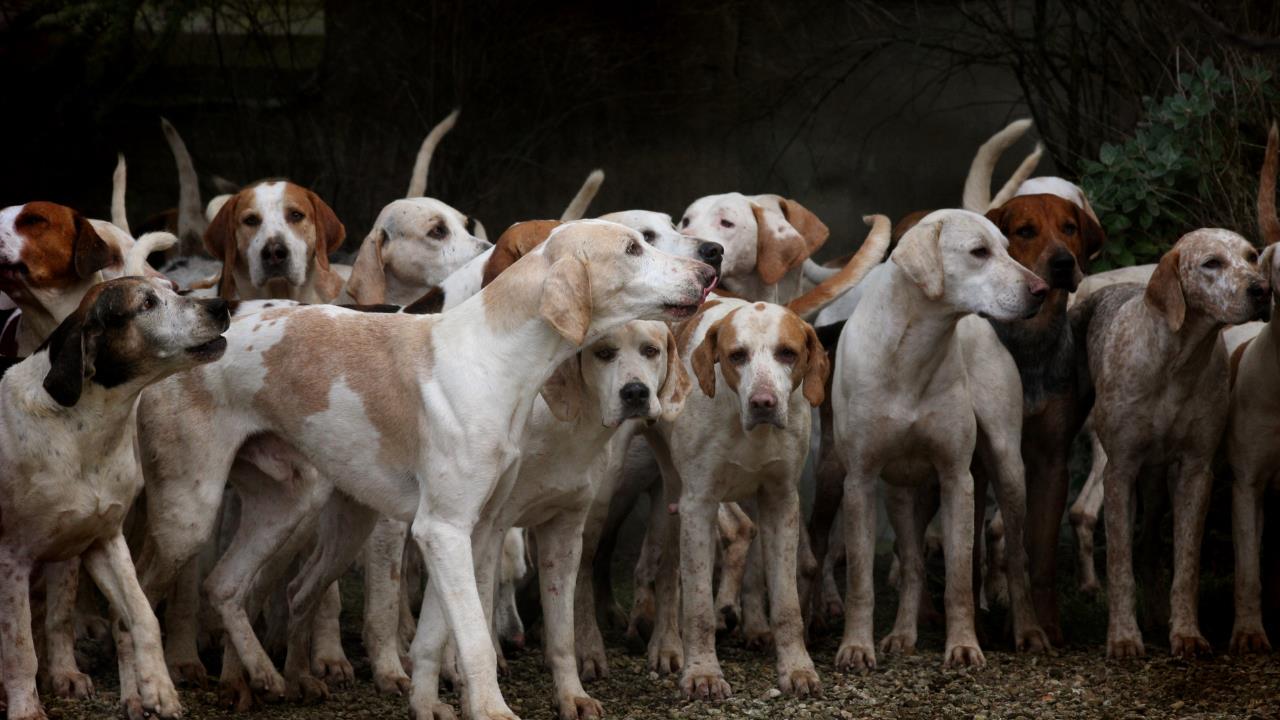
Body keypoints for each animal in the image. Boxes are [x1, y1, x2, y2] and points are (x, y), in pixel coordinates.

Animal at [0, 275, 227, 720]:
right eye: (147, 304)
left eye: (175, 289)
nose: (221, 306)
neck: (81, 429)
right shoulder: (11, 558)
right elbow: (19, 648)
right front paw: (25, 709)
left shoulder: (105, 540)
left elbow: (141, 616)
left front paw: (157, 688)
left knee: (59, 618)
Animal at [829, 207, 1049, 666]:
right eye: (979, 252)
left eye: (1008, 247)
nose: (1042, 290)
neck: (911, 352)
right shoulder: (859, 481)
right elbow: (860, 580)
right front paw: (856, 646)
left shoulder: (956, 479)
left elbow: (960, 577)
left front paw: (964, 645)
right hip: (901, 492)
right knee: (911, 562)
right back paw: (902, 635)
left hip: (1008, 469)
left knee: (1016, 557)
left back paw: (1029, 631)